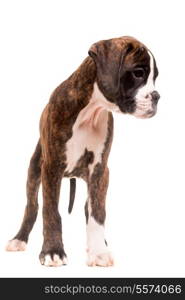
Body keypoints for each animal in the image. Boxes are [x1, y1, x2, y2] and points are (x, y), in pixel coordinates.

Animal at [5, 35, 159, 268]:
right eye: (138, 73)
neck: (91, 110)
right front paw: (53, 251)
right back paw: (19, 239)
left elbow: (97, 213)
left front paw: (98, 251)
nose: (157, 96)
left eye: (155, 77)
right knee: (32, 207)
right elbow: (51, 211)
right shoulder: (51, 167)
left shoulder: (99, 169)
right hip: (34, 170)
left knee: (90, 208)